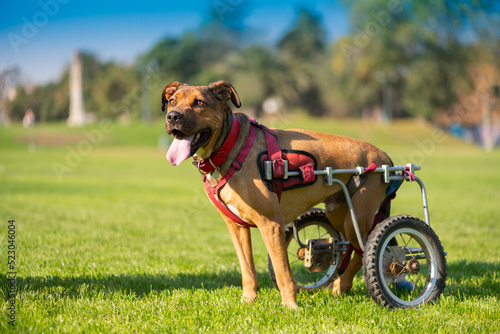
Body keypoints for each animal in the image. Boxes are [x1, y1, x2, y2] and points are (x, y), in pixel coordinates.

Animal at [162, 80, 392, 308]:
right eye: (172, 101)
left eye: (199, 103)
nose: (172, 116)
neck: (230, 146)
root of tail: (385, 157)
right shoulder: (236, 227)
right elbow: (248, 270)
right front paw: (248, 300)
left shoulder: (270, 225)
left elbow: (283, 273)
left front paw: (290, 306)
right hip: (337, 213)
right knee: (348, 247)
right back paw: (341, 283)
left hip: (356, 219)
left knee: (365, 248)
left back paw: (351, 282)